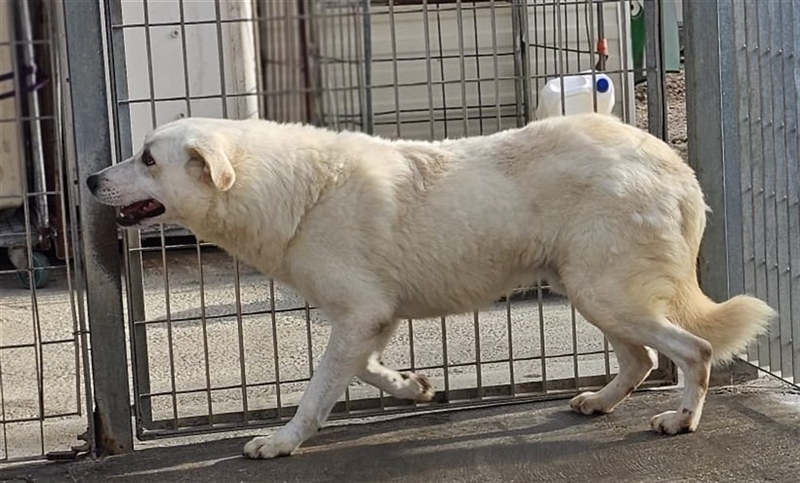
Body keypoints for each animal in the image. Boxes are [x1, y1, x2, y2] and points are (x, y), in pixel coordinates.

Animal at [86, 113, 775, 459]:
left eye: (148, 158)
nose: (90, 179)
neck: (294, 188)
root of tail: (672, 160)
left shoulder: (359, 315)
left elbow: (316, 393)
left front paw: (281, 442)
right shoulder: (371, 318)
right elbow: (365, 372)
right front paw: (413, 387)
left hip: (605, 293)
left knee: (692, 350)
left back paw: (680, 420)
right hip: (590, 292)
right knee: (642, 359)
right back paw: (599, 403)